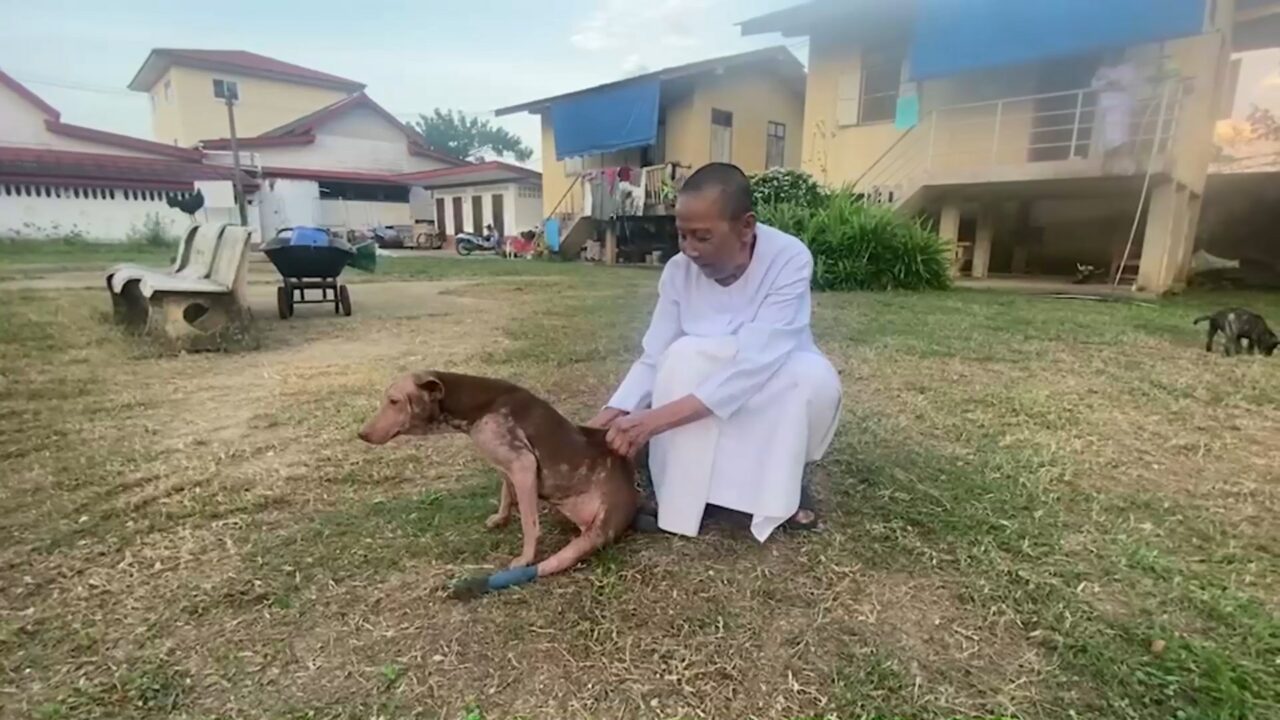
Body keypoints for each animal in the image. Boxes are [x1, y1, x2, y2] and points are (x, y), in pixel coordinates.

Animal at [359, 371, 639, 580]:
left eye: (394, 401)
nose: (361, 434)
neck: (475, 406)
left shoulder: (524, 465)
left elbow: (529, 523)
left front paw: (525, 558)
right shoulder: (508, 466)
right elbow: (506, 493)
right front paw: (500, 518)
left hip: (592, 534)